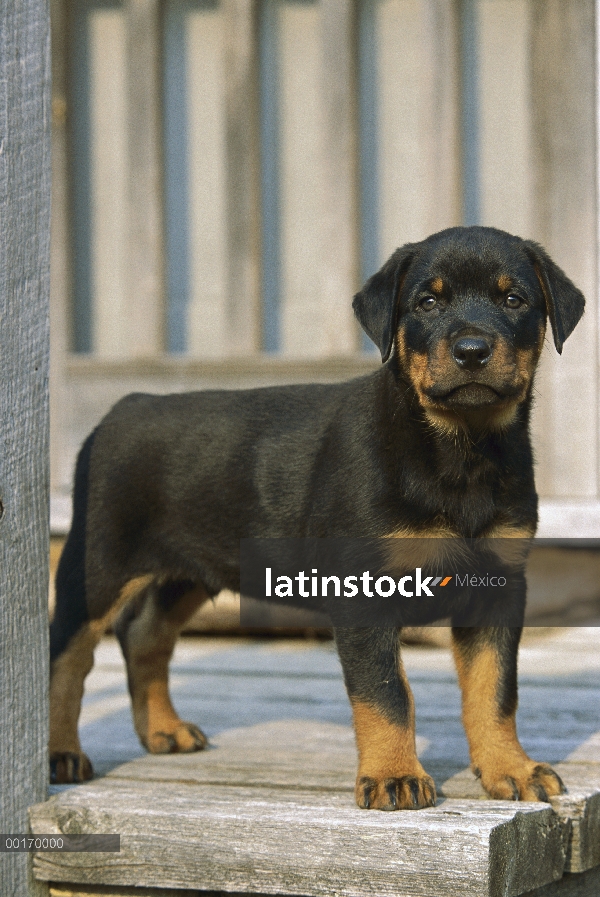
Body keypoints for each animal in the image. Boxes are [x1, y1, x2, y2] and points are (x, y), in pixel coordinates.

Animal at [51, 222, 584, 804]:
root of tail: (124, 406)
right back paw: (60, 754)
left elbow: (495, 690)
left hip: (187, 568)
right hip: (99, 561)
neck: (461, 448)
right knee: (67, 654)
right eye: (427, 302)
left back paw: (163, 730)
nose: (471, 350)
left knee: (144, 633)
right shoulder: (365, 594)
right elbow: (386, 691)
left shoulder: (498, 588)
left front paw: (510, 768)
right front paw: (395, 775)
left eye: (514, 300)